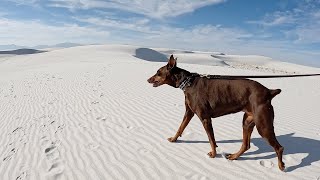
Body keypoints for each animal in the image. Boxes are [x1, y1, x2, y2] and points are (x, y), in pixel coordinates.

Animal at [148, 54, 284, 170]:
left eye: (158, 72)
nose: (148, 80)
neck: (188, 82)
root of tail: (268, 92)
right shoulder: (189, 112)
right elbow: (181, 127)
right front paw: (173, 139)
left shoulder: (205, 118)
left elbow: (211, 139)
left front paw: (213, 154)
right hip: (247, 121)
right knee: (246, 145)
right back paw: (234, 156)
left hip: (263, 125)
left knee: (279, 147)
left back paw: (281, 166)